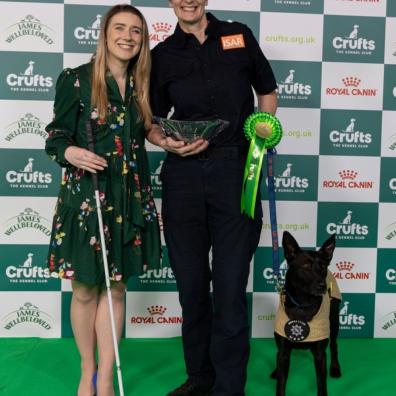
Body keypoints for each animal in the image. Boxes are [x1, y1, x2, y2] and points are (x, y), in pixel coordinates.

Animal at [270, 230, 342, 396]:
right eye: (306, 267)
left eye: (322, 267)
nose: (323, 286)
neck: (303, 304)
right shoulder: (284, 352)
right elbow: (280, 383)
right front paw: (278, 374)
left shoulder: (320, 355)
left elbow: (322, 385)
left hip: (334, 319)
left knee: (334, 343)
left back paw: (335, 368)